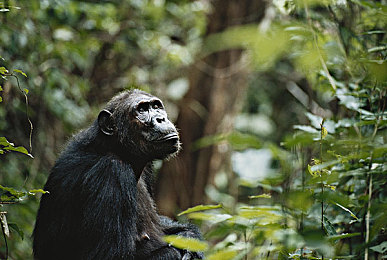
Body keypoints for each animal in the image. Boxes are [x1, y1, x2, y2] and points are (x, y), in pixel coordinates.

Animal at [33, 90, 205, 260]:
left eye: (156, 106)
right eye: (142, 110)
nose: (160, 118)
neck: (118, 149)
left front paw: (189, 236)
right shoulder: (111, 173)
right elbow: (109, 255)